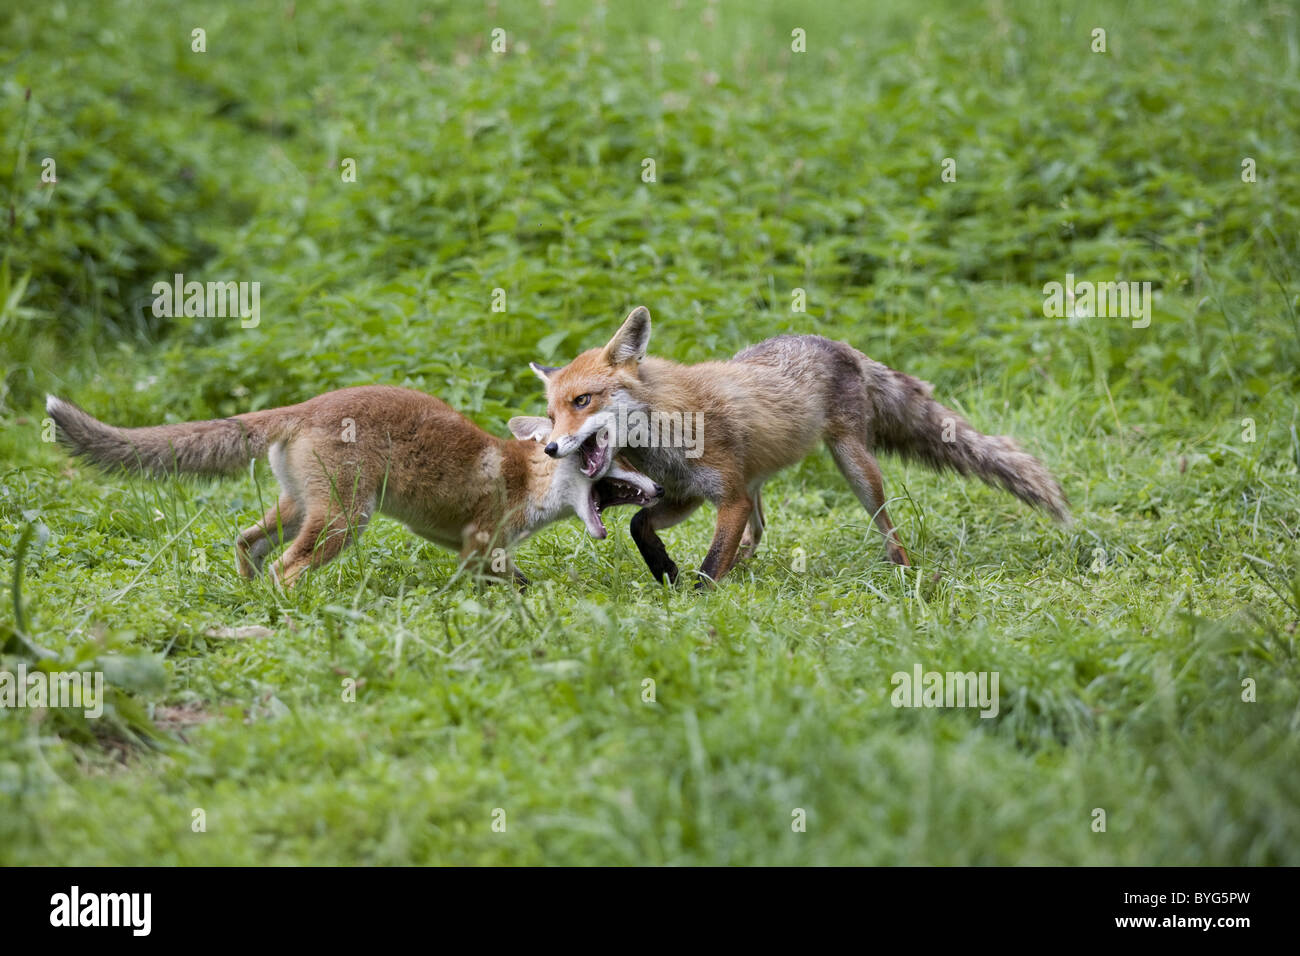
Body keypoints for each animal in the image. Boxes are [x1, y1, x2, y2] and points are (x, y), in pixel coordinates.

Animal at [44, 386, 662, 589]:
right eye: (614, 458)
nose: (657, 488)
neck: (524, 479)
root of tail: (307, 405)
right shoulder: (481, 545)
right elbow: (513, 586)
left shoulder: (481, 550)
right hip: (345, 519)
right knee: (286, 568)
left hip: (301, 509)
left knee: (247, 542)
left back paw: (245, 597)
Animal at [529, 306, 1070, 586]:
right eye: (552, 415)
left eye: (583, 400)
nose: (551, 449)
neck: (670, 425)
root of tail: (840, 345)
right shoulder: (687, 496)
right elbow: (640, 525)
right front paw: (665, 569)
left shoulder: (727, 496)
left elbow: (709, 564)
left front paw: (696, 598)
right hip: (759, 481)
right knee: (759, 529)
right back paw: (746, 565)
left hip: (855, 465)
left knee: (888, 527)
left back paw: (904, 574)